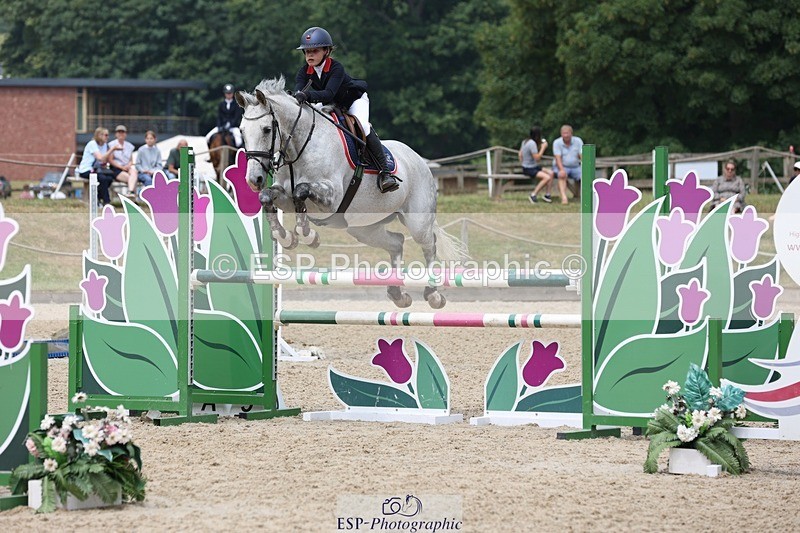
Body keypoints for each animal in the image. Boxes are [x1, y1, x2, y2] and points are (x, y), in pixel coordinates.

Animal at [234, 77, 465, 309]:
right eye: (242, 131)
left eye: (266, 129)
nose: (254, 180)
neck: (298, 149)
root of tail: (420, 160)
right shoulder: (285, 197)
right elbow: (267, 197)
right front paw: (285, 237)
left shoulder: (331, 198)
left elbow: (301, 191)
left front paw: (308, 235)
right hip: (364, 228)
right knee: (397, 242)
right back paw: (397, 293)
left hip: (417, 221)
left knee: (429, 245)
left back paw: (433, 294)